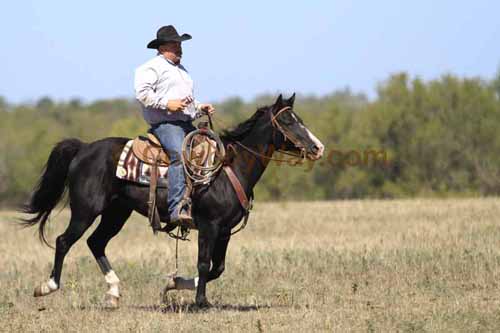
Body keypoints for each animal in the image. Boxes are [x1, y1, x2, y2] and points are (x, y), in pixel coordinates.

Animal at [21, 93, 324, 306]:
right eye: (287, 121)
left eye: (300, 119)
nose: (317, 147)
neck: (228, 168)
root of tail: (84, 148)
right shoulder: (209, 225)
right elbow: (204, 264)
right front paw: (200, 300)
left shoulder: (225, 230)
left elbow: (217, 268)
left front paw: (172, 284)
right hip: (85, 210)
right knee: (64, 241)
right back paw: (47, 286)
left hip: (116, 213)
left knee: (96, 242)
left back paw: (113, 293)